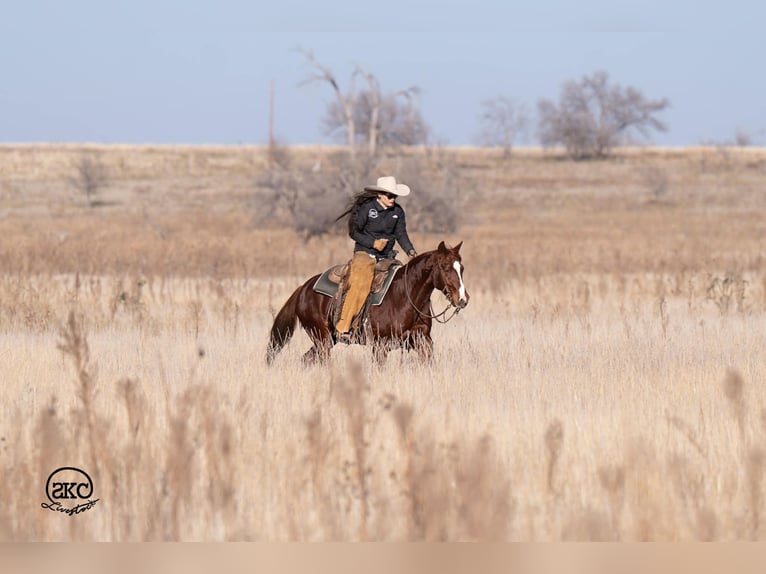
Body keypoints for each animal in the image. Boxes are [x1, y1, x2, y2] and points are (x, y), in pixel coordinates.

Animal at [266, 241, 469, 365]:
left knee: (306, 359)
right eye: (444, 267)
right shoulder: (380, 346)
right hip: (321, 337)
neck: (406, 296)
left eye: (462, 268)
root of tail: (304, 288)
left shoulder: (423, 341)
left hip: (327, 340)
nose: (463, 299)